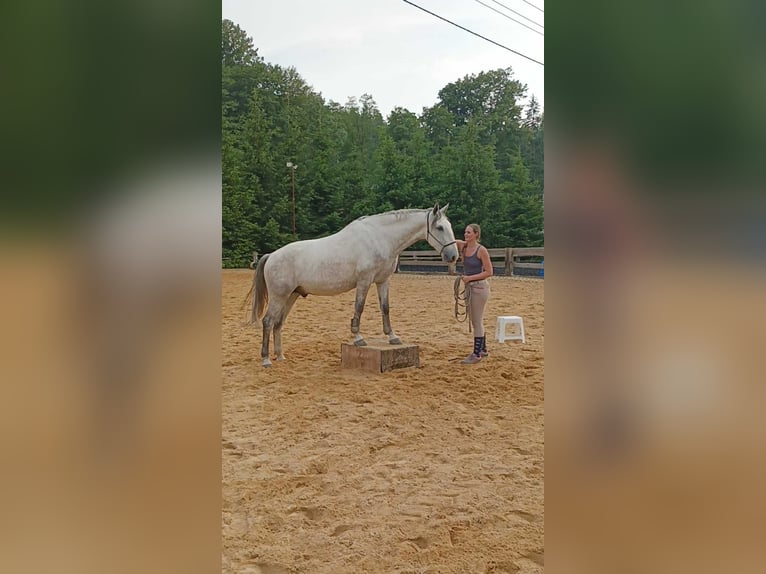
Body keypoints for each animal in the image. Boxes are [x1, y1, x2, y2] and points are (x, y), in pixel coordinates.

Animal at [248, 203, 459, 367]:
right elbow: (359, 307)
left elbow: (385, 308)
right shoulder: (364, 281)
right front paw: (358, 338)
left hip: (291, 296)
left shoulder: (383, 281)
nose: (453, 256)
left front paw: (392, 337)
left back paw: (280, 356)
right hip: (279, 296)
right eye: (439, 227)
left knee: (278, 323)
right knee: (267, 321)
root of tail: (271, 256)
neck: (380, 238)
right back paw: (266, 359)